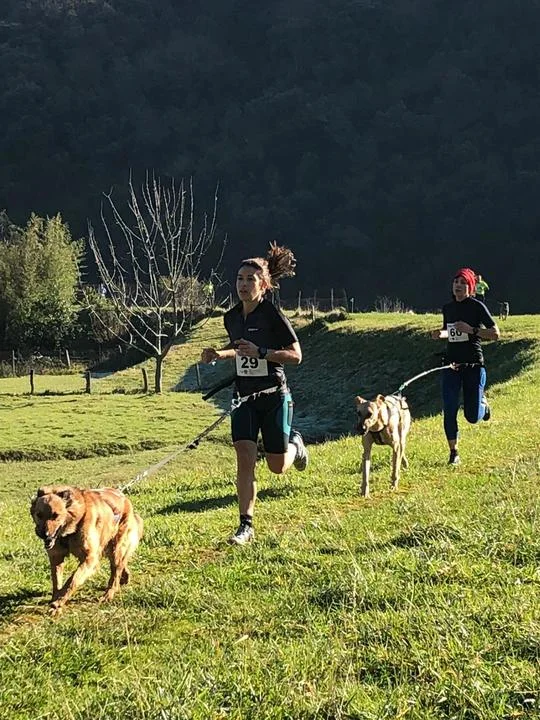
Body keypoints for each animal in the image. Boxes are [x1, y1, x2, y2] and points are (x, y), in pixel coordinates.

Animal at [30, 485, 143, 614]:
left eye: (56, 515)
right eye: (39, 515)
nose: (45, 535)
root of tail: (124, 498)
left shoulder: (90, 558)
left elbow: (72, 580)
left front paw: (58, 602)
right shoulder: (56, 556)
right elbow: (56, 580)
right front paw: (56, 599)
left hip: (116, 547)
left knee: (116, 571)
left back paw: (108, 594)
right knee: (121, 564)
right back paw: (125, 577)